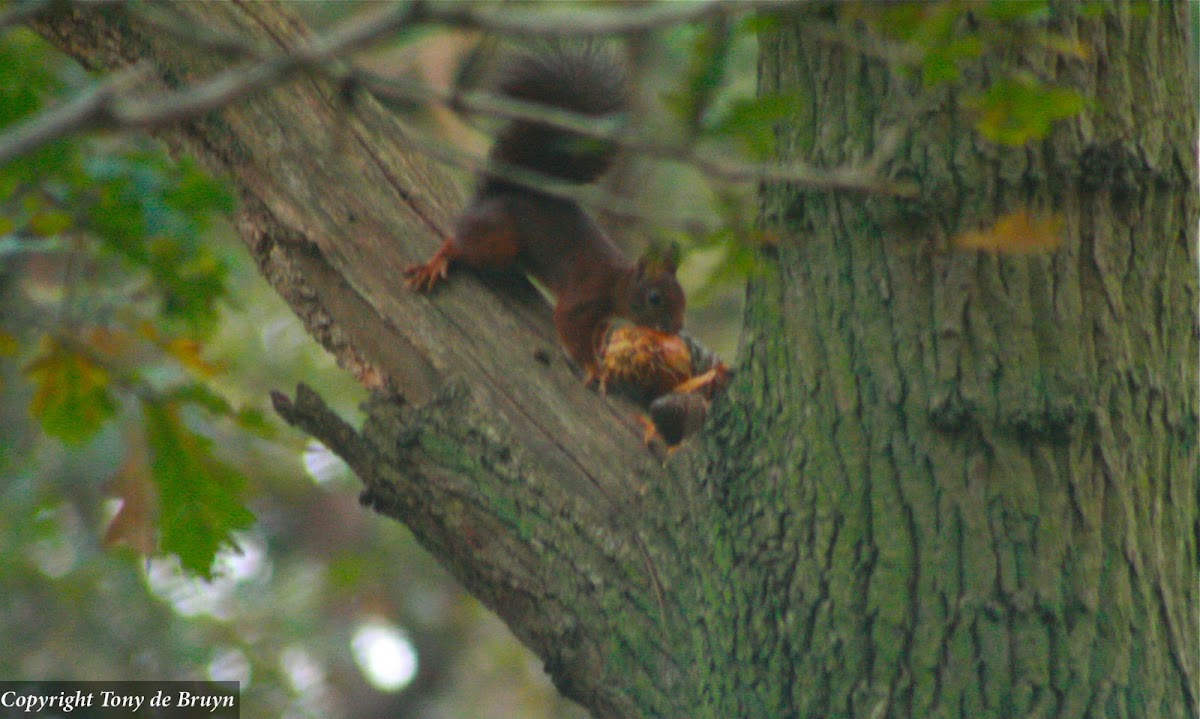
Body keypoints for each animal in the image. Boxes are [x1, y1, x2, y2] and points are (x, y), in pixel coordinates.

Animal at [404, 47, 685, 382]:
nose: (676, 328)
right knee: (458, 244)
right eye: (655, 298)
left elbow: (596, 334)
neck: (618, 282)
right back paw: (436, 263)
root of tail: (496, 193)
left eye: (683, 298)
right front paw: (593, 367)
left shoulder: (601, 317)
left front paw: (601, 353)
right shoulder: (585, 297)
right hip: (499, 238)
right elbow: (569, 327)